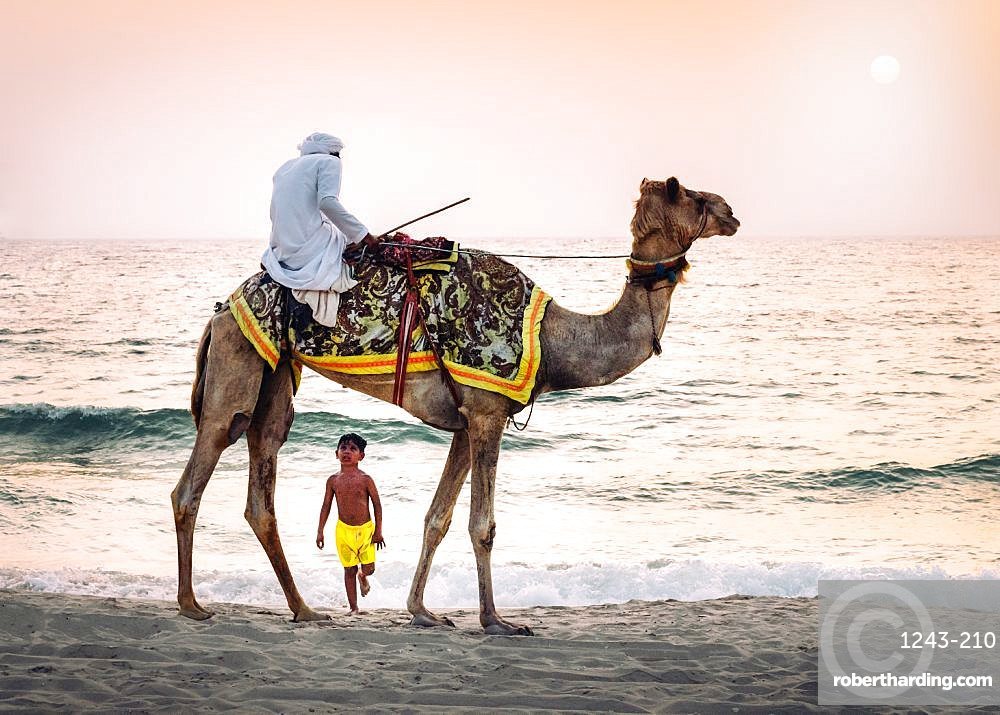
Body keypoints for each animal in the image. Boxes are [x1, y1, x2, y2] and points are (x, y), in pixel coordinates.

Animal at [171, 177, 739, 634]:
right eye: (688, 192)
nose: (731, 212)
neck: (551, 340)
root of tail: (221, 310)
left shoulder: (468, 423)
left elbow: (437, 518)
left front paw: (422, 612)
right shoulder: (487, 414)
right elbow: (481, 525)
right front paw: (496, 621)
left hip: (275, 376)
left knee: (261, 482)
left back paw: (304, 610)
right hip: (237, 364)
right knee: (198, 471)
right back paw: (191, 604)